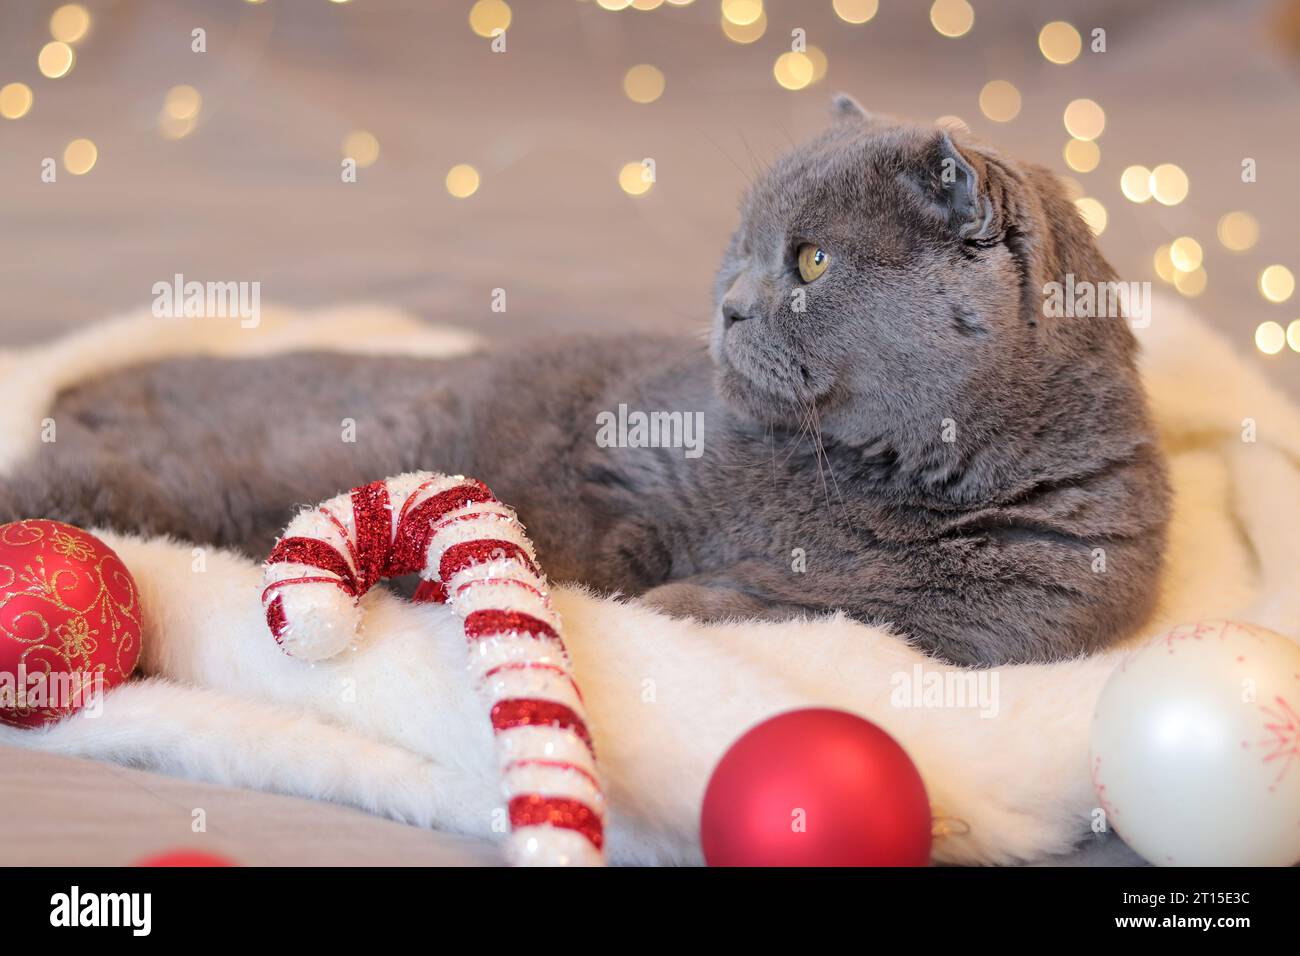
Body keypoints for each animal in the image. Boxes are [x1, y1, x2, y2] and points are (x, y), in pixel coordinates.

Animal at [0, 97, 1175, 665]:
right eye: (740, 247)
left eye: (810, 262)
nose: (729, 302)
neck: (871, 484)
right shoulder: (623, 451)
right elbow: (621, 526)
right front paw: (630, 579)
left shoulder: (1021, 621)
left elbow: (812, 604)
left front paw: (684, 593)